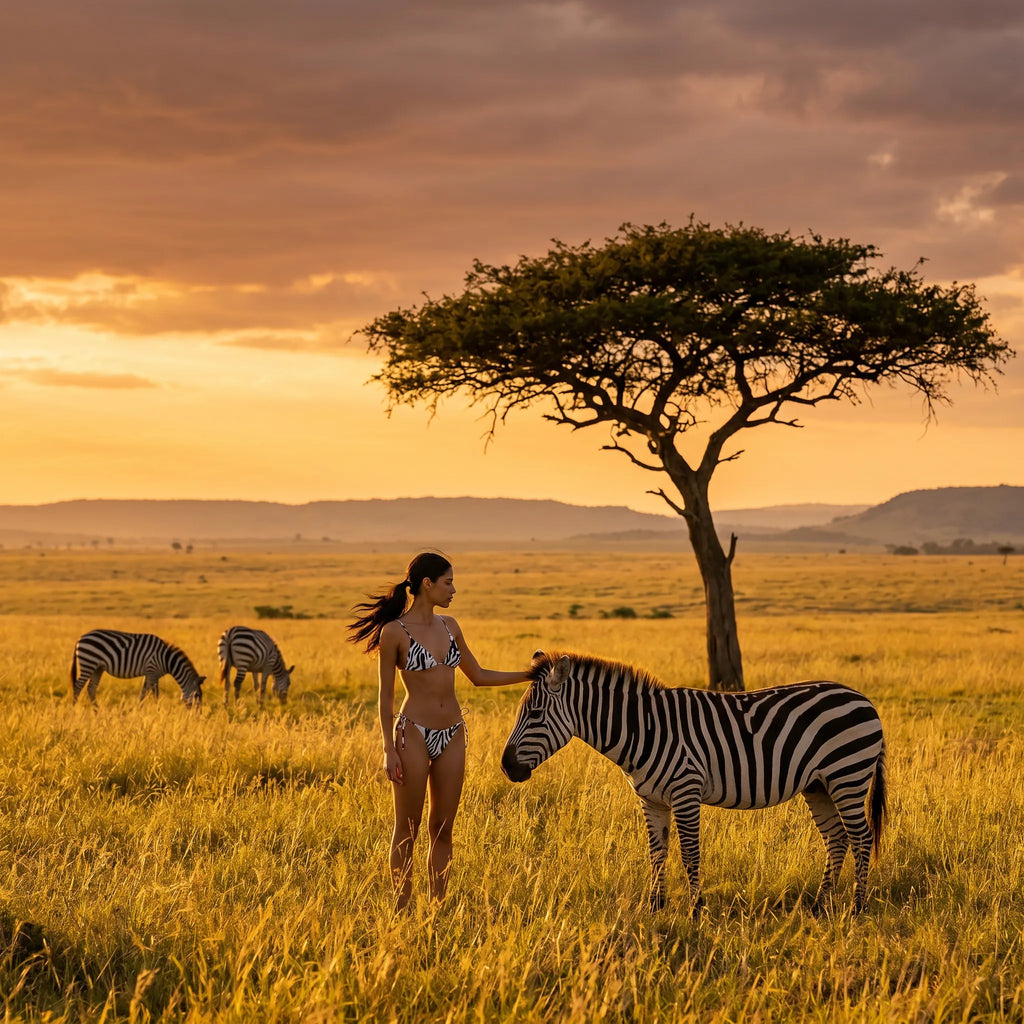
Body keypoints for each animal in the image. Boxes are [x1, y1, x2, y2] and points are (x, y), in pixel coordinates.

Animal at [70, 629, 205, 706]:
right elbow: (155, 694)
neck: (167, 659)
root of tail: (80, 638)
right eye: (197, 695)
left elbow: (143, 693)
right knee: (78, 686)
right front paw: (158, 711)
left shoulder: (149, 673)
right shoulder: (152, 671)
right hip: (88, 663)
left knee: (91, 688)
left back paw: (96, 712)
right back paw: (74, 709)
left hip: (97, 667)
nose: (197, 717)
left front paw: (140, 710)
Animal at [501, 652, 887, 914]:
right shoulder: (651, 800)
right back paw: (820, 906)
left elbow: (689, 852)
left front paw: (695, 910)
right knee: (836, 839)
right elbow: (657, 852)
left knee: (861, 837)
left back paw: (858, 908)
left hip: (848, 775)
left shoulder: (685, 791)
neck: (644, 729)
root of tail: (863, 699)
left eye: (534, 714)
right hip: (818, 785)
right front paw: (655, 907)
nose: (506, 767)